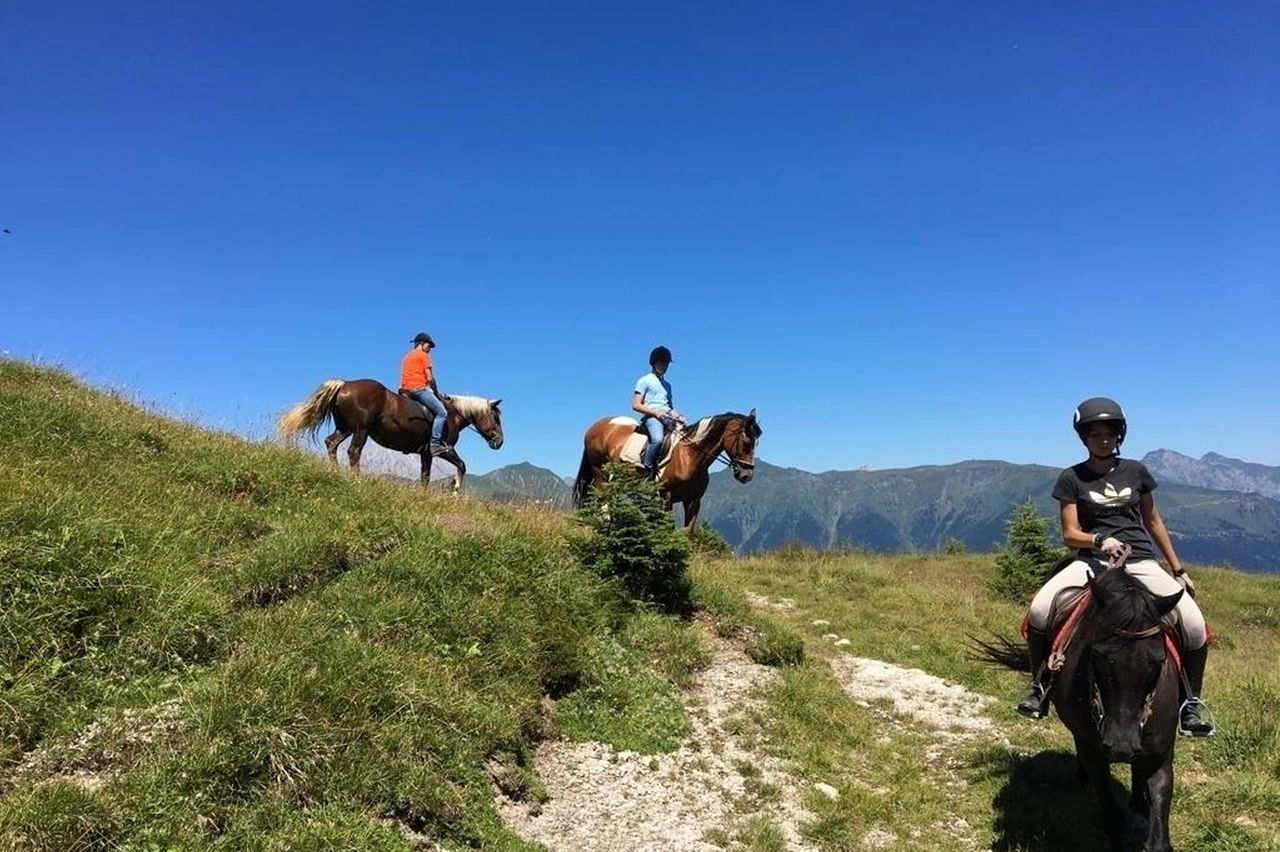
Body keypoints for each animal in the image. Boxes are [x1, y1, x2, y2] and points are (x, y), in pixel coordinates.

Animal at [277, 378, 501, 491]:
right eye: (497, 418)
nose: (499, 442)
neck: (452, 415)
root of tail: (344, 384)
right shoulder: (443, 448)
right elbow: (461, 466)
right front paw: (454, 489)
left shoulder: (425, 453)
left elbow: (425, 477)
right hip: (361, 429)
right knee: (353, 452)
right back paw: (357, 481)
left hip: (346, 428)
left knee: (331, 443)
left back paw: (335, 472)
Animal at [570, 409, 757, 527]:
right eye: (746, 442)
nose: (747, 475)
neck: (689, 457)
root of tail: (595, 426)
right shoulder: (666, 496)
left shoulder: (694, 501)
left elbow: (688, 533)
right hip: (599, 469)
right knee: (602, 495)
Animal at [983, 562, 1182, 849]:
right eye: (1097, 656)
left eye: (1158, 661)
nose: (1121, 747)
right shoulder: (1093, 749)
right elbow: (1111, 812)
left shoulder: (1160, 750)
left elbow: (1159, 830)